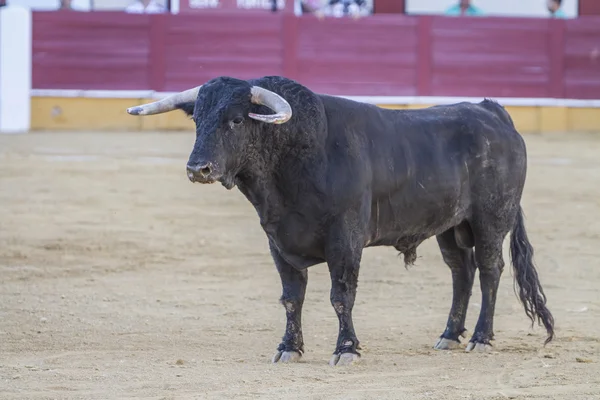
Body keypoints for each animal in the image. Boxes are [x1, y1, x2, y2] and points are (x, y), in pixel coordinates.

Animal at [126, 75, 552, 366]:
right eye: (197, 119)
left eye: (235, 120)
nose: (198, 169)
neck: (299, 154)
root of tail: (491, 111)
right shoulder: (278, 240)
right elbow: (291, 298)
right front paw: (288, 348)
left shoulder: (345, 240)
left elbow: (341, 295)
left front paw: (346, 349)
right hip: (450, 226)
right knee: (461, 272)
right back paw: (448, 335)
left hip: (491, 218)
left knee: (490, 269)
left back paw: (481, 337)